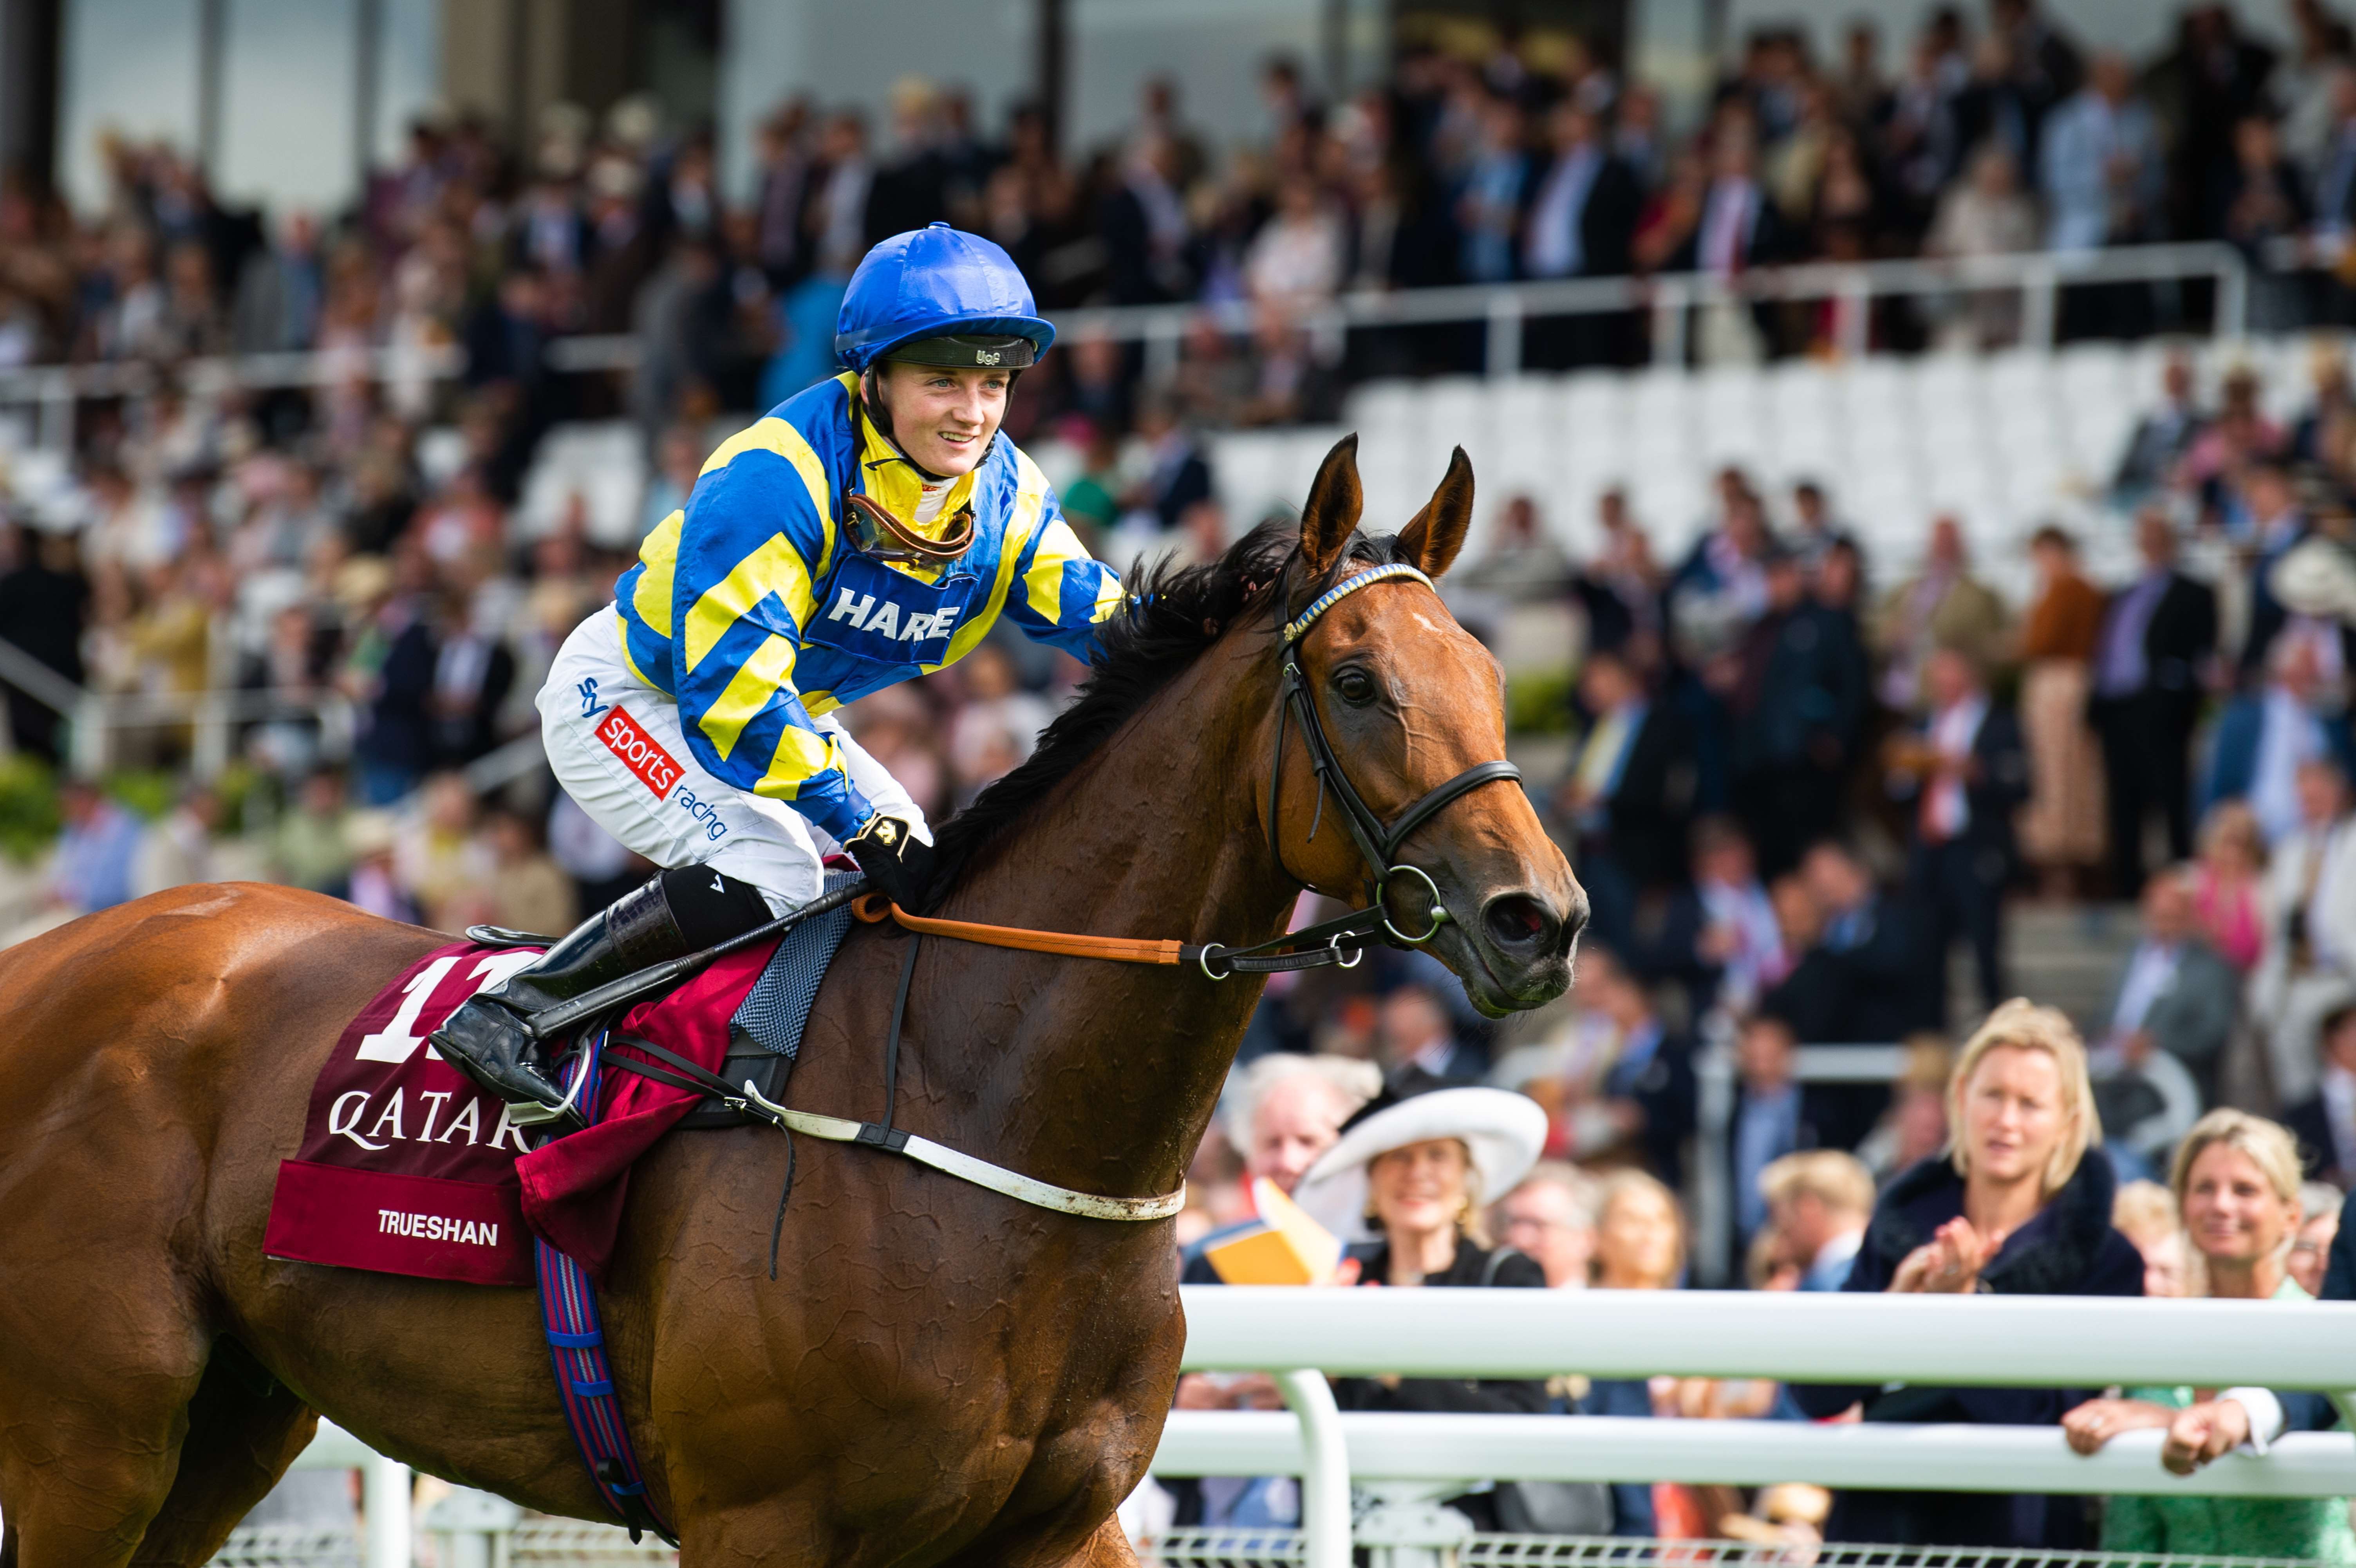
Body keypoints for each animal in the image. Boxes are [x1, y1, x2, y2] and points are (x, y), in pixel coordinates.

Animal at [4, 435, 1583, 1563]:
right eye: (1358, 681)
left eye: (1490, 672)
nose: (1542, 918)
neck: (976, 1106)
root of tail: (49, 957)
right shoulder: (762, 1520)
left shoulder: (1056, 1524)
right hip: (96, 1426)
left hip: (231, 1417)